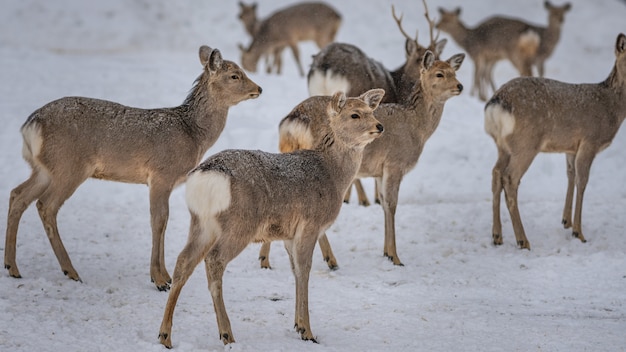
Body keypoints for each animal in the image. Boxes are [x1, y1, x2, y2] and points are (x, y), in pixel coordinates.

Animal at [3, 44, 260, 292]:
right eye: (235, 75)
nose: (259, 88)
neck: (193, 135)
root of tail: (31, 125)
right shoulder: (161, 174)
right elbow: (159, 220)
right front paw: (159, 280)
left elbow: (163, 221)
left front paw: (165, 275)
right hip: (69, 166)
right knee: (46, 205)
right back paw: (70, 271)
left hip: (45, 169)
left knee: (18, 194)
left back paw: (12, 267)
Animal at [156, 88, 382, 346]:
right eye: (355, 114)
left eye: (371, 111)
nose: (380, 126)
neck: (332, 175)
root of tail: (207, 177)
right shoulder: (310, 223)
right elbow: (304, 269)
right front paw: (308, 331)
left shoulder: (288, 234)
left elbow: (295, 270)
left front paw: (298, 325)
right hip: (239, 224)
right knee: (214, 260)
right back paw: (227, 334)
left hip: (201, 222)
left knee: (184, 261)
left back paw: (165, 335)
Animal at [264, 48, 464, 270]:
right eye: (439, 74)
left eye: (454, 72)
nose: (460, 86)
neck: (417, 128)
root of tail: (294, 120)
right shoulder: (394, 163)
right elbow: (391, 205)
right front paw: (395, 257)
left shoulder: (380, 171)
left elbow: (383, 203)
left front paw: (386, 252)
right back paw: (330, 259)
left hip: (286, 151)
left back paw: (266, 261)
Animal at [436, 2, 568, 102]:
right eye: (442, 17)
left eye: (447, 20)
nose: (437, 25)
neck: (468, 41)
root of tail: (530, 34)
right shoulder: (491, 58)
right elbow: (485, 74)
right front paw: (484, 96)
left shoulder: (478, 54)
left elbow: (477, 75)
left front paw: (475, 95)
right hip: (528, 55)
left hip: (515, 54)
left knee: (526, 71)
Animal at [482, 32, 624, 248]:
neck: (613, 108)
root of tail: (496, 103)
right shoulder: (589, 140)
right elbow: (583, 181)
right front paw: (578, 233)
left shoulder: (571, 147)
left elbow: (571, 175)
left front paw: (566, 221)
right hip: (526, 143)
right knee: (510, 178)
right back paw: (523, 240)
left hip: (503, 146)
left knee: (496, 173)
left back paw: (497, 236)